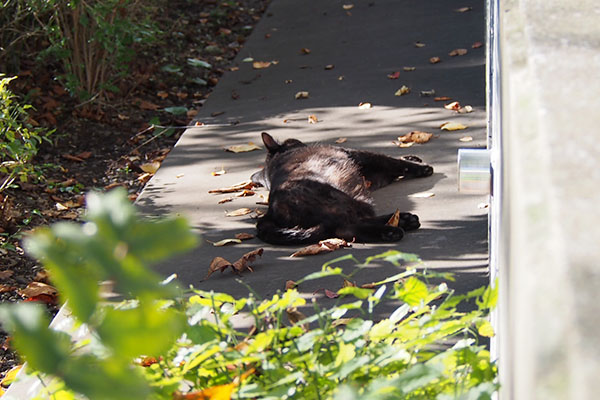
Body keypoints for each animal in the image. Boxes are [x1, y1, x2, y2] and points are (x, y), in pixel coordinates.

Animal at [251, 132, 434, 244]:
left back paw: (403, 220)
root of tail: (270, 212)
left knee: (349, 226)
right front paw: (423, 167)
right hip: (346, 201)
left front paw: (412, 157)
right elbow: (393, 162)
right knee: (347, 227)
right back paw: (394, 228)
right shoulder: (359, 155)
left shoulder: (375, 178)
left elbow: (394, 165)